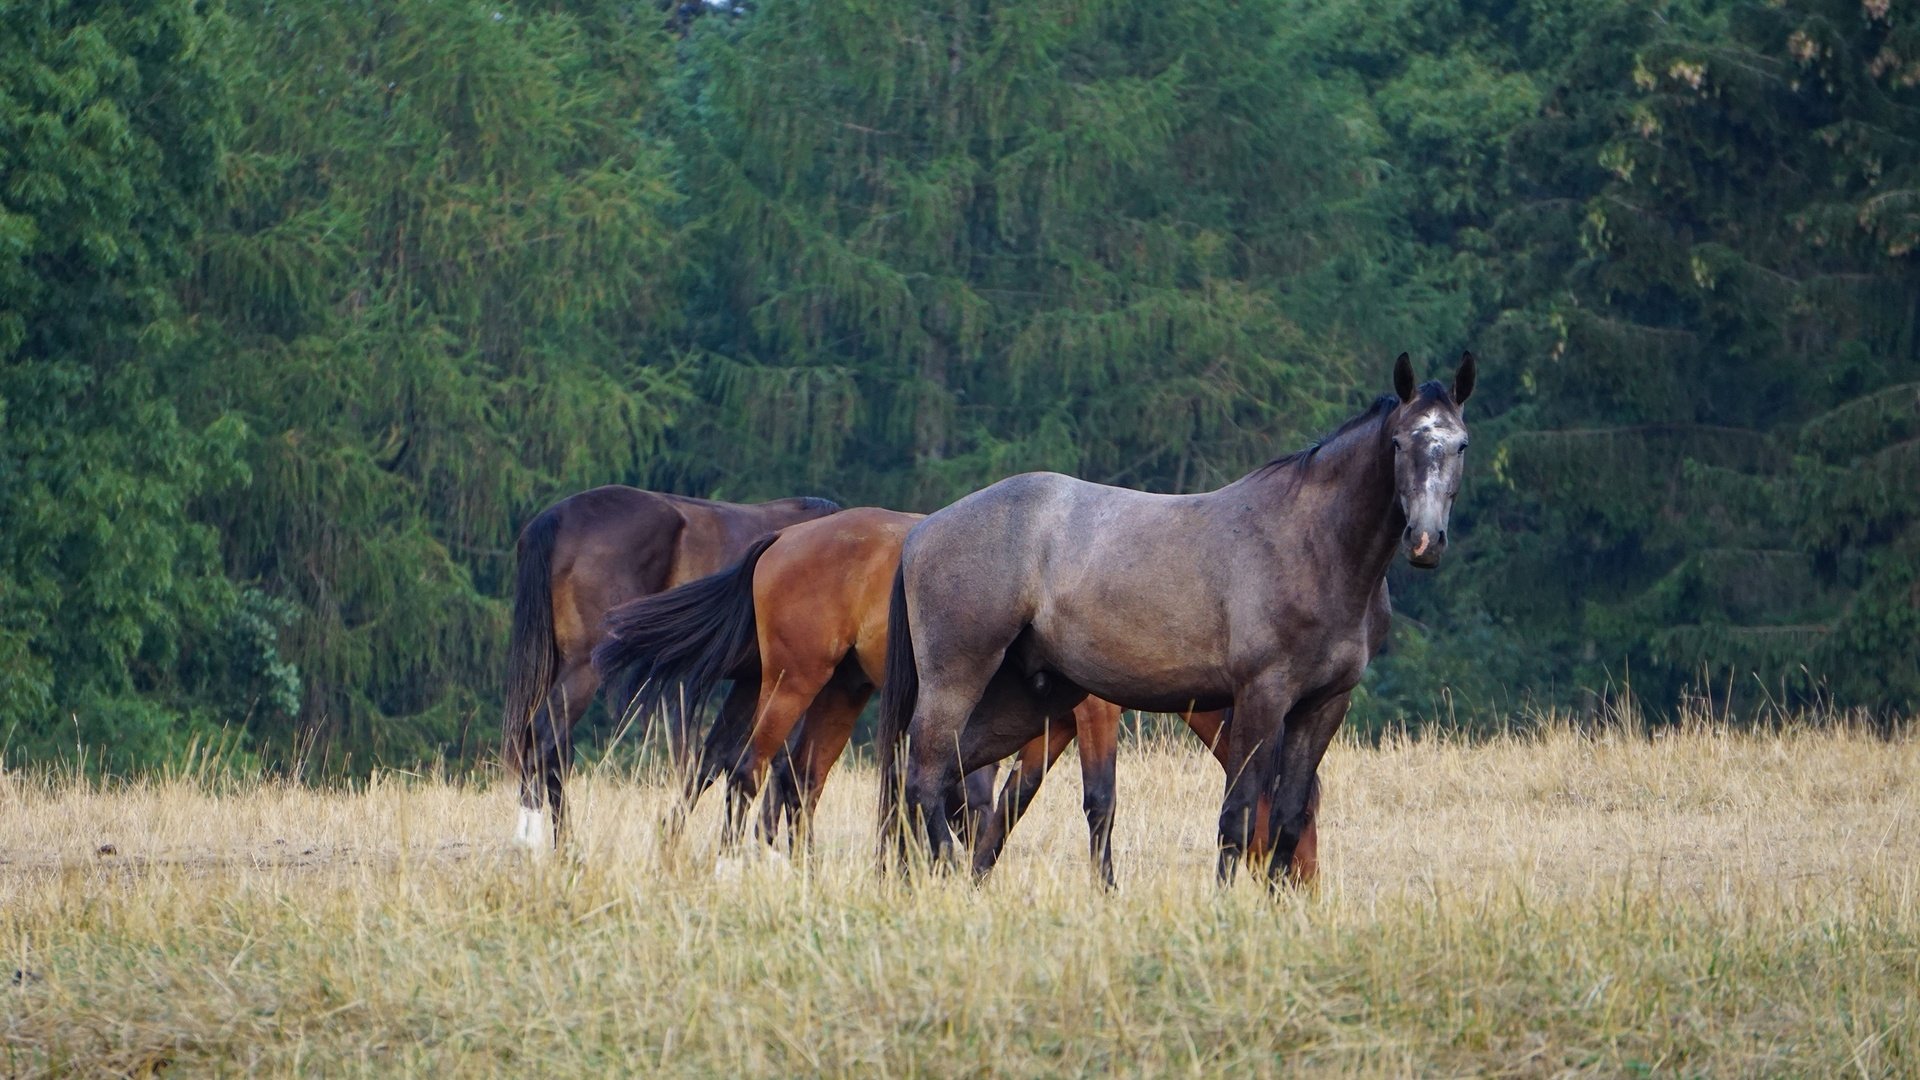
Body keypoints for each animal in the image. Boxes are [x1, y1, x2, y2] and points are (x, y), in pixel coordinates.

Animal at [503, 484, 840, 845]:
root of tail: (559, 516)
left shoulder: (752, 682)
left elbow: (717, 759)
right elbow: (783, 768)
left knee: (551, 752)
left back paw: (566, 846)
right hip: (583, 667)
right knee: (542, 739)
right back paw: (531, 842)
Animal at [595, 503, 1320, 883]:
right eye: (1308, 814)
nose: (1302, 887)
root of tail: (784, 538)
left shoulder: (1049, 728)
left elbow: (1008, 803)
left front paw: (971, 870)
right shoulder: (1093, 714)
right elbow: (1098, 801)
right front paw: (1103, 887)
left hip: (838, 692)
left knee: (793, 779)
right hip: (793, 681)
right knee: (749, 770)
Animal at [879, 353, 1474, 883]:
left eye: (1460, 444)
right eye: (1399, 442)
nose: (1425, 540)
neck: (1312, 545)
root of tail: (923, 530)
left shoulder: (1324, 704)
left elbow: (1286, 818)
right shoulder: (1261, 697)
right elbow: (1238, 817)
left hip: (1026, 701)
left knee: (935, 776)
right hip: (958, 679)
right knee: (925, 776)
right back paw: (941, 869)